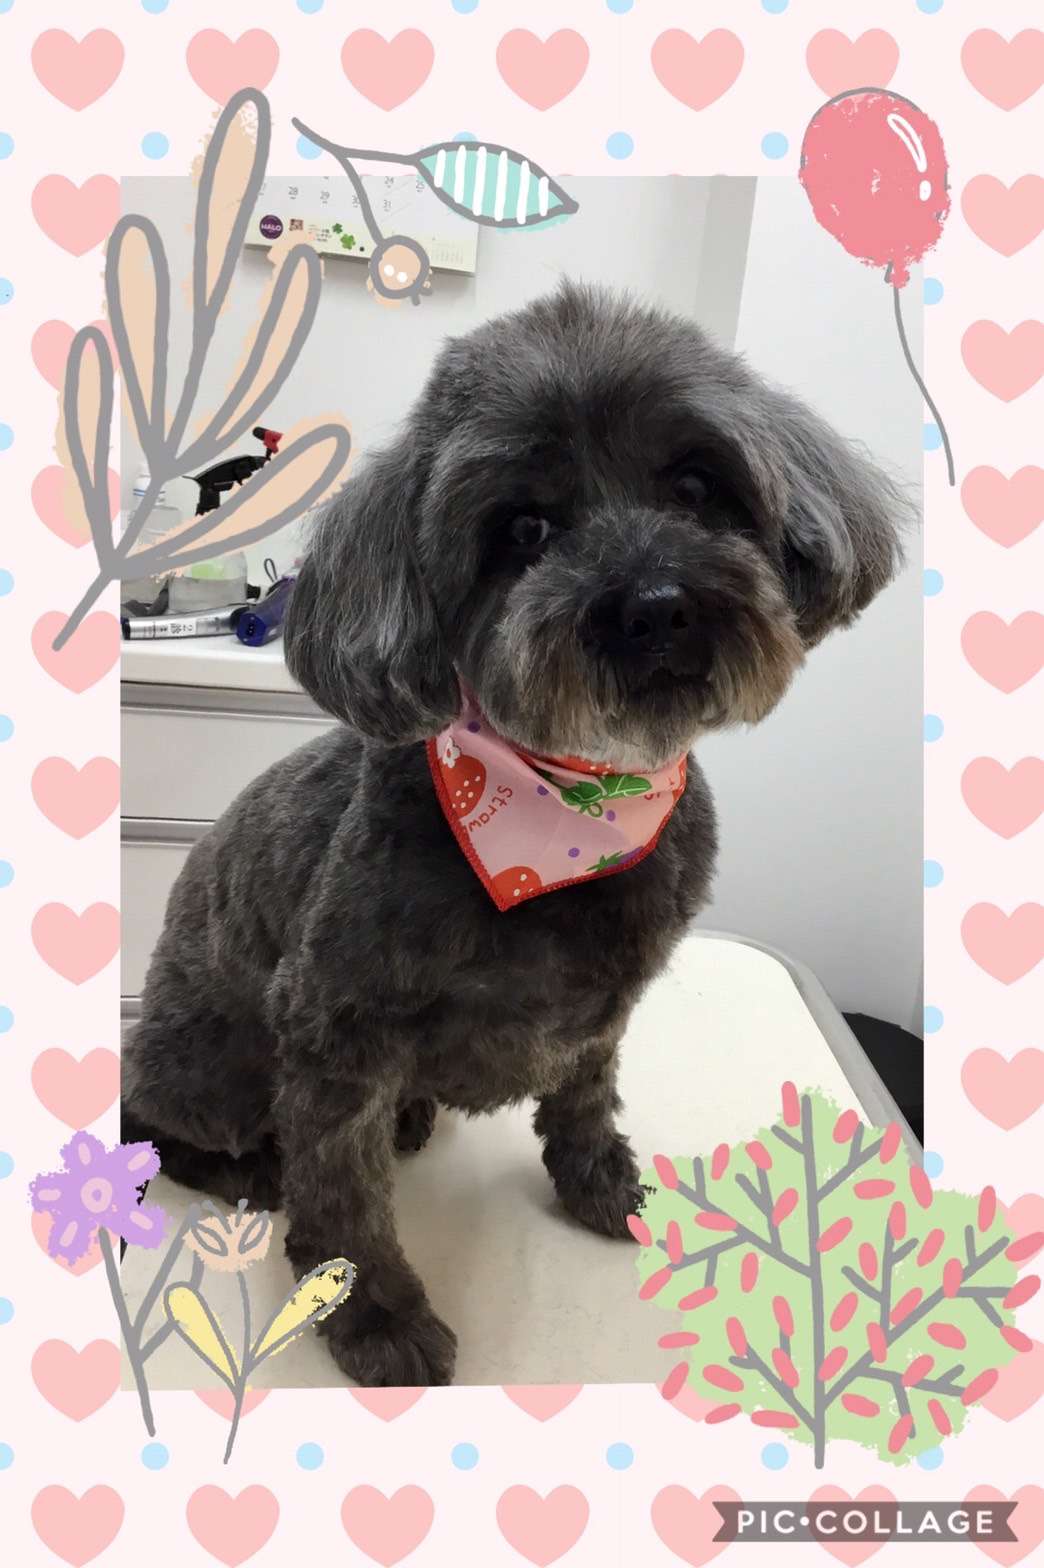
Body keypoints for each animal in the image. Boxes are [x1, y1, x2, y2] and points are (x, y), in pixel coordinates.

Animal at [122, 281, 905, 1386]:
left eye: (698, 484)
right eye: (523, 526)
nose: (656, 608)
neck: (569, 809)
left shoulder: (604, 1007)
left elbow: (582, 1097)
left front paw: (603, 1186)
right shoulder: (330, 1030)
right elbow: (344, 1193)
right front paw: (375, 1314)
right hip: (211, 1058)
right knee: (159, 1122)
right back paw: (249, 1165)